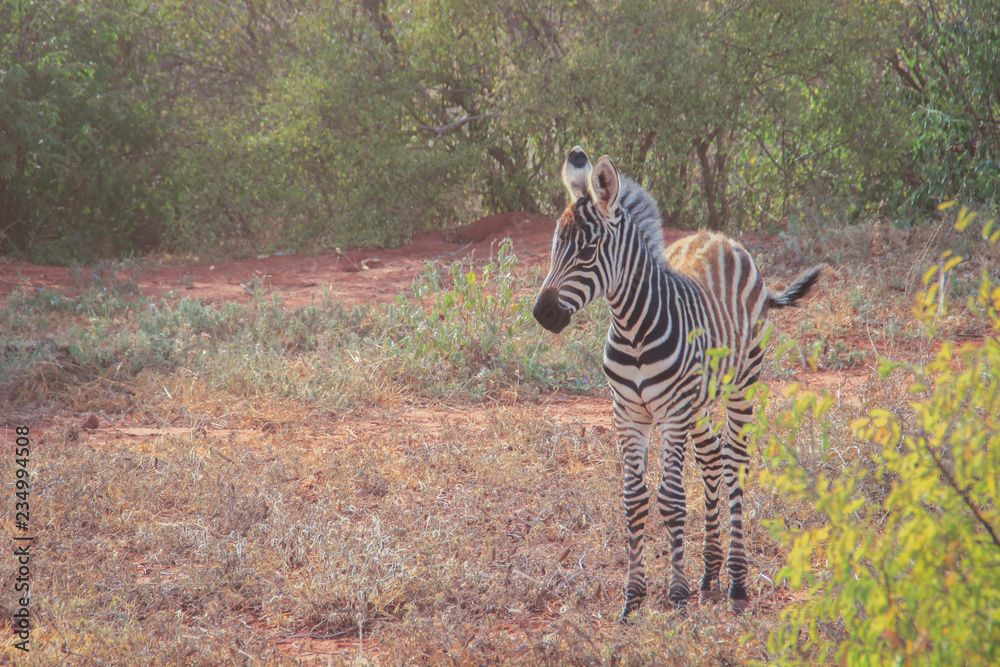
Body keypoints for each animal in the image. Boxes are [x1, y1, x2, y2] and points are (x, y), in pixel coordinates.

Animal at [532, 146, 821, 621]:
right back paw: (710, 574)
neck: (632, 327)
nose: (543, 314)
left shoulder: (670, 415)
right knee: (712, 459)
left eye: (588, 251)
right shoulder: (628, 414)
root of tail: (719, 238)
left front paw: (677, 596)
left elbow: (670, 499)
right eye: (555, 246)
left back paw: (736, 584)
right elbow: (634, 501)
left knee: (735, 461)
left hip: (741, 384)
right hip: (698, 404)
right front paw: (633, 600)